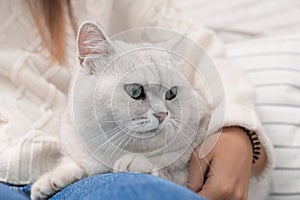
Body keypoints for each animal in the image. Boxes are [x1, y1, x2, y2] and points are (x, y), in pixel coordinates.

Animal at [29, 21, 209, 200]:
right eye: (135, 91)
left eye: (171, 93)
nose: (162, 115)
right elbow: (71, 162)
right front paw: (51, 179)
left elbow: (167, 169)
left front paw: (135, 163)